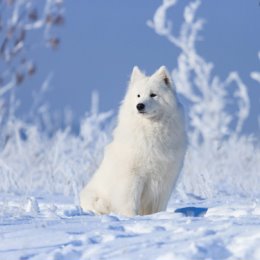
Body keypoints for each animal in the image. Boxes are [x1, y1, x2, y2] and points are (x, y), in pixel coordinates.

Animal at [80, 66, 186, 216]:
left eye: (153, 95)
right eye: (138, 95)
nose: (139, 106)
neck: (151, 131)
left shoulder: (165, 179)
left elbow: (159, 206)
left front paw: (158, 216)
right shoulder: (132, 176)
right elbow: (129, 201)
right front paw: (131, 217)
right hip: (94, 197)